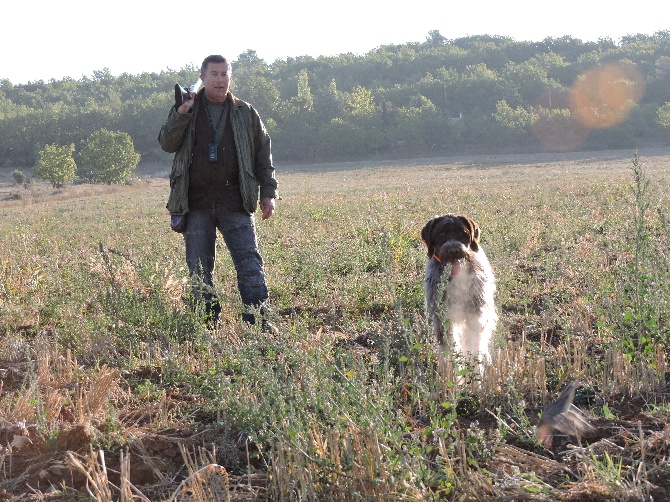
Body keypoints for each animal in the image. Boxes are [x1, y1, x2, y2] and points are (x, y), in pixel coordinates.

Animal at [422, 214, 496, 362]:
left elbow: (475, 344)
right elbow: (449, 346)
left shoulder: (476, 315)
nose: (454, 251)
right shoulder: (442, 318)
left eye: (463, 233)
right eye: (441, 234)